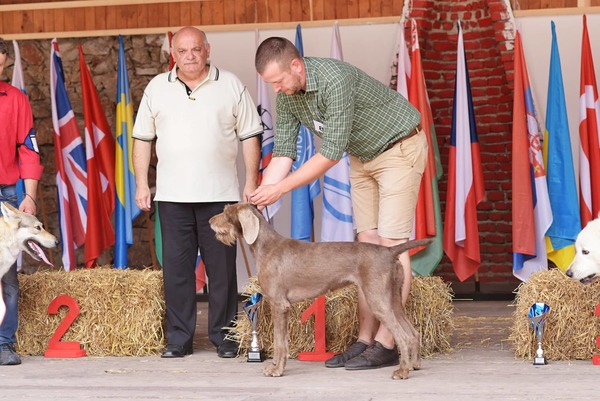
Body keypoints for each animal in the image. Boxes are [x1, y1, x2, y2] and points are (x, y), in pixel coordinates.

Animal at [209, 202, 428, 380]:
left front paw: (276, 370)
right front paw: (276, 366)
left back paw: (402, 371)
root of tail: (389, 251)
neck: (266, 246)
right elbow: (282, 341)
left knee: (403, 337)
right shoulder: (282, 307)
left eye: (226, 212)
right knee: (413, 333)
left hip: (379, 300)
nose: (210, 221)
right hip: (394, 299)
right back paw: (414, 365)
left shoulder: (279, 305)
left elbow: (279, 342)